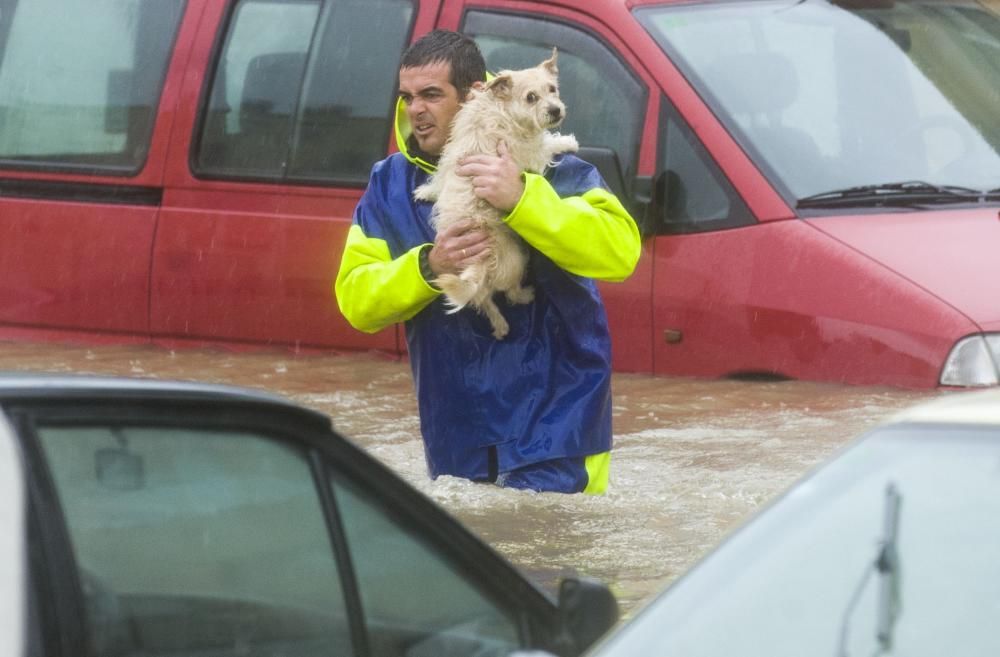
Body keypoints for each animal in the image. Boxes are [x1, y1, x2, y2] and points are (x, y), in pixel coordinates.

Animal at [414, 48, 580, 338]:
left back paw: (500, 325)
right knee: (507, 293)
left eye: (552, 89)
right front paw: (567, 142)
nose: (555, 110)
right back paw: (524, 296)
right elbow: (547, 144)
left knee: (482, 299)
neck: (501, 109)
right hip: (518, 259)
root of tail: (477, 264)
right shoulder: (530, 152)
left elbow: (439, 178)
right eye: (531, 97)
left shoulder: (451, 157)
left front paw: (426, 191)